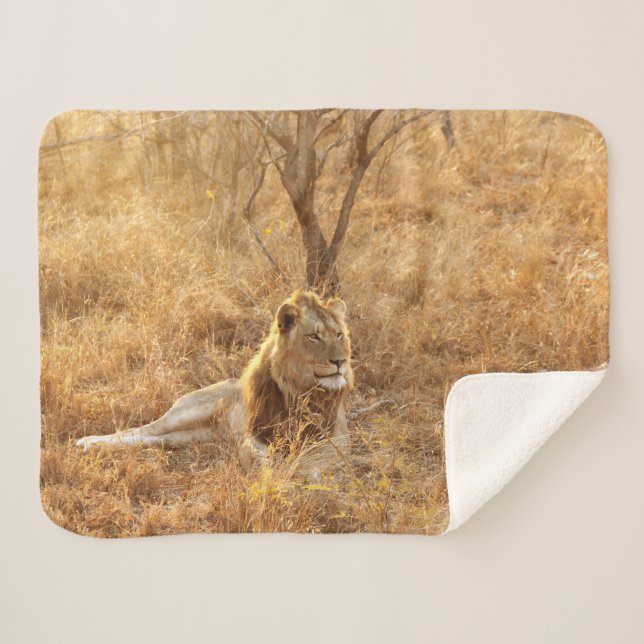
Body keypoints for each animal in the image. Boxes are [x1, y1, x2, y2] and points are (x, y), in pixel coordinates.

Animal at [76, 290, 354, 477]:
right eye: (314, 336)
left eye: (339, 334)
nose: (341, 361)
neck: (301, 389)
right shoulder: (255, 432)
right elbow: (250, 452)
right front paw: (267, 467)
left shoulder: (338, 437)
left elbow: (315, 458)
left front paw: (299, 471)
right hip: (186, 412)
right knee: (141, 430)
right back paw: (88, 442)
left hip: (192, 436)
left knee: (154, 439)